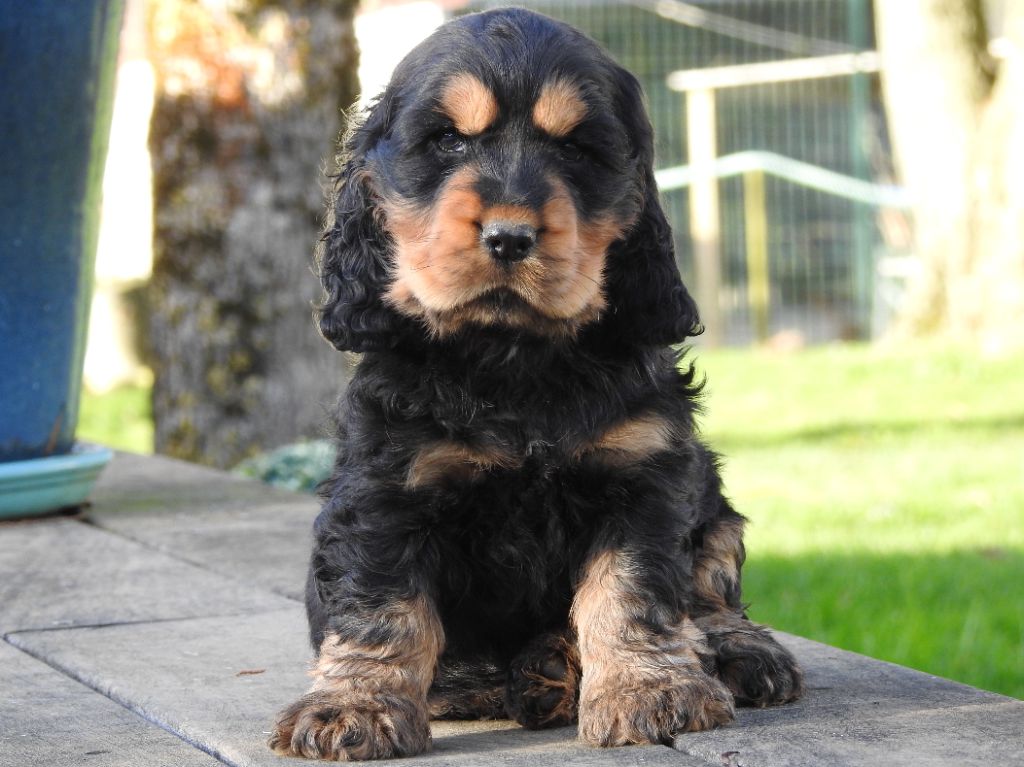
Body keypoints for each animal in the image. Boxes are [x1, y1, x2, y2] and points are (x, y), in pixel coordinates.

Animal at [270, 7, 798, 761]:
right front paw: (354, 705)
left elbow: (632, 589)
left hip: (710, 496)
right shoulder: (384, 489)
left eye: (577, 149)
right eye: (447, 139)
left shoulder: (642, 476)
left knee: (711, 589)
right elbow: (381, 604)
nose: (509, 236)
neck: (514, 358)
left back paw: (720, 654)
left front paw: (649, 689)